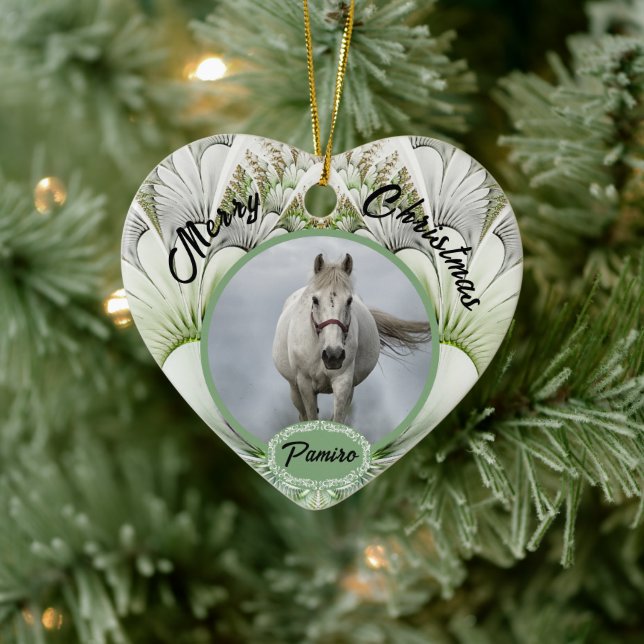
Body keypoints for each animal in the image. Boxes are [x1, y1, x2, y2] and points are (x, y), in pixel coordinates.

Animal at [272, 253, 431, 425]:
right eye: (315, 300)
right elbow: (311, 416)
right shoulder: (305, 385)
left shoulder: (343, 383)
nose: (333, 355)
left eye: (349, 300)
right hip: (294, 389)